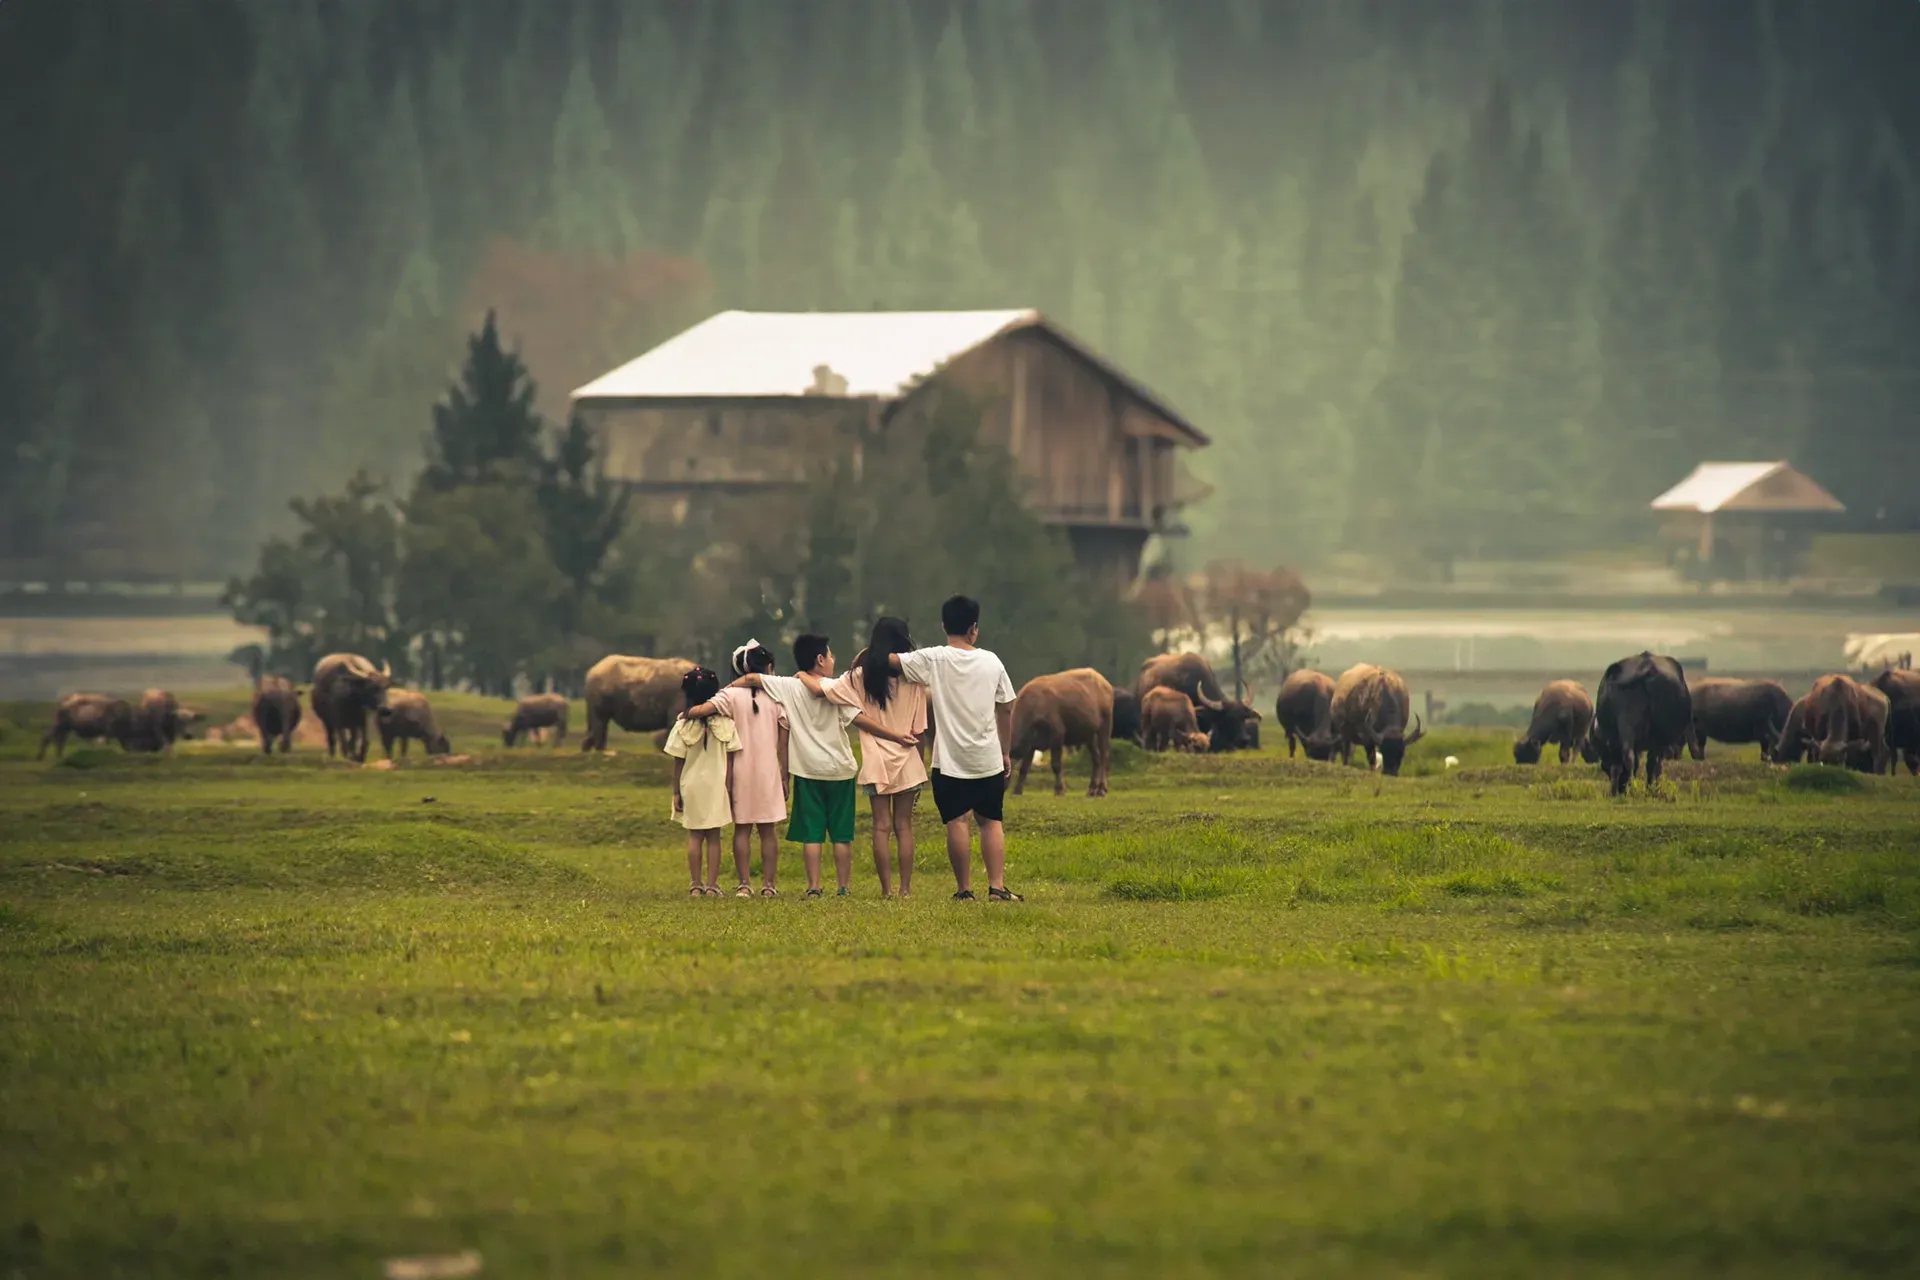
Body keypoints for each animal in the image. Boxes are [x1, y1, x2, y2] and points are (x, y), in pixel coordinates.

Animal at [1589, 656, 1697, 794]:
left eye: (1604, 765)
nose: (1620, 787)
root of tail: (1648, 668)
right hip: (1653, 732)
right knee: (1650, 761)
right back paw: (1649, 789)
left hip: (1624, 725)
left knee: (1628, 759)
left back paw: (1628, 789)